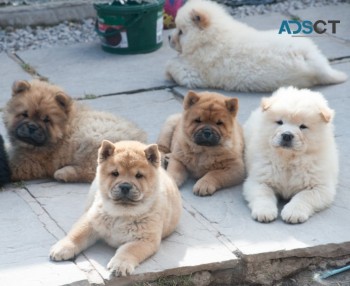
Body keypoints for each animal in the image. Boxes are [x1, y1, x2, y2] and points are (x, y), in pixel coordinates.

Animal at [2, 79, 146, 182]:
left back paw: (63, 173)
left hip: (90, 140)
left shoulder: (28, 162)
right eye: (24, 114)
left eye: (46, 120)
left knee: (91, 171)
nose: (32, 127)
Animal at [50, 141, 183, 278]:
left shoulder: (144, 240)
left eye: (139, 175)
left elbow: (128, 250)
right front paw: (62, 248)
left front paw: (120, 265)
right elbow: (77, 234)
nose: (125, 186)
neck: (121, 213)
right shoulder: (91, 221)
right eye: (115, 173)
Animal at [165, 0, 346, 92]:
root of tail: (315, 62)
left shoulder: (194, 72)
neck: (210, 37)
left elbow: (174, 65)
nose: (168, 38)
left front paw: (168, 72)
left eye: (180, 31)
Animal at [242, 86, 338, 225]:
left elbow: (303, 197)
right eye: (279, 122)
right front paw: (264, 212)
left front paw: (293, 213)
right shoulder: (259, 180)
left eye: (303, 126)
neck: (288, 159)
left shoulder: (320, 187)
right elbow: (263, 194)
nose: (287, 135)